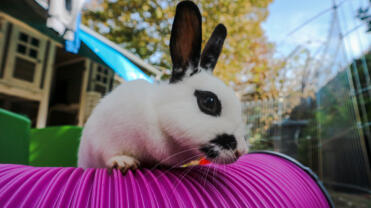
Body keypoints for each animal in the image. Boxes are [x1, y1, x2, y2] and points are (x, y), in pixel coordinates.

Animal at [77, 0, 248, 172]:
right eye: (209, 101)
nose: (241, 151)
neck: (158, 115)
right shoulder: (105, 139)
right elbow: (109, 154)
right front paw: (123, 162)